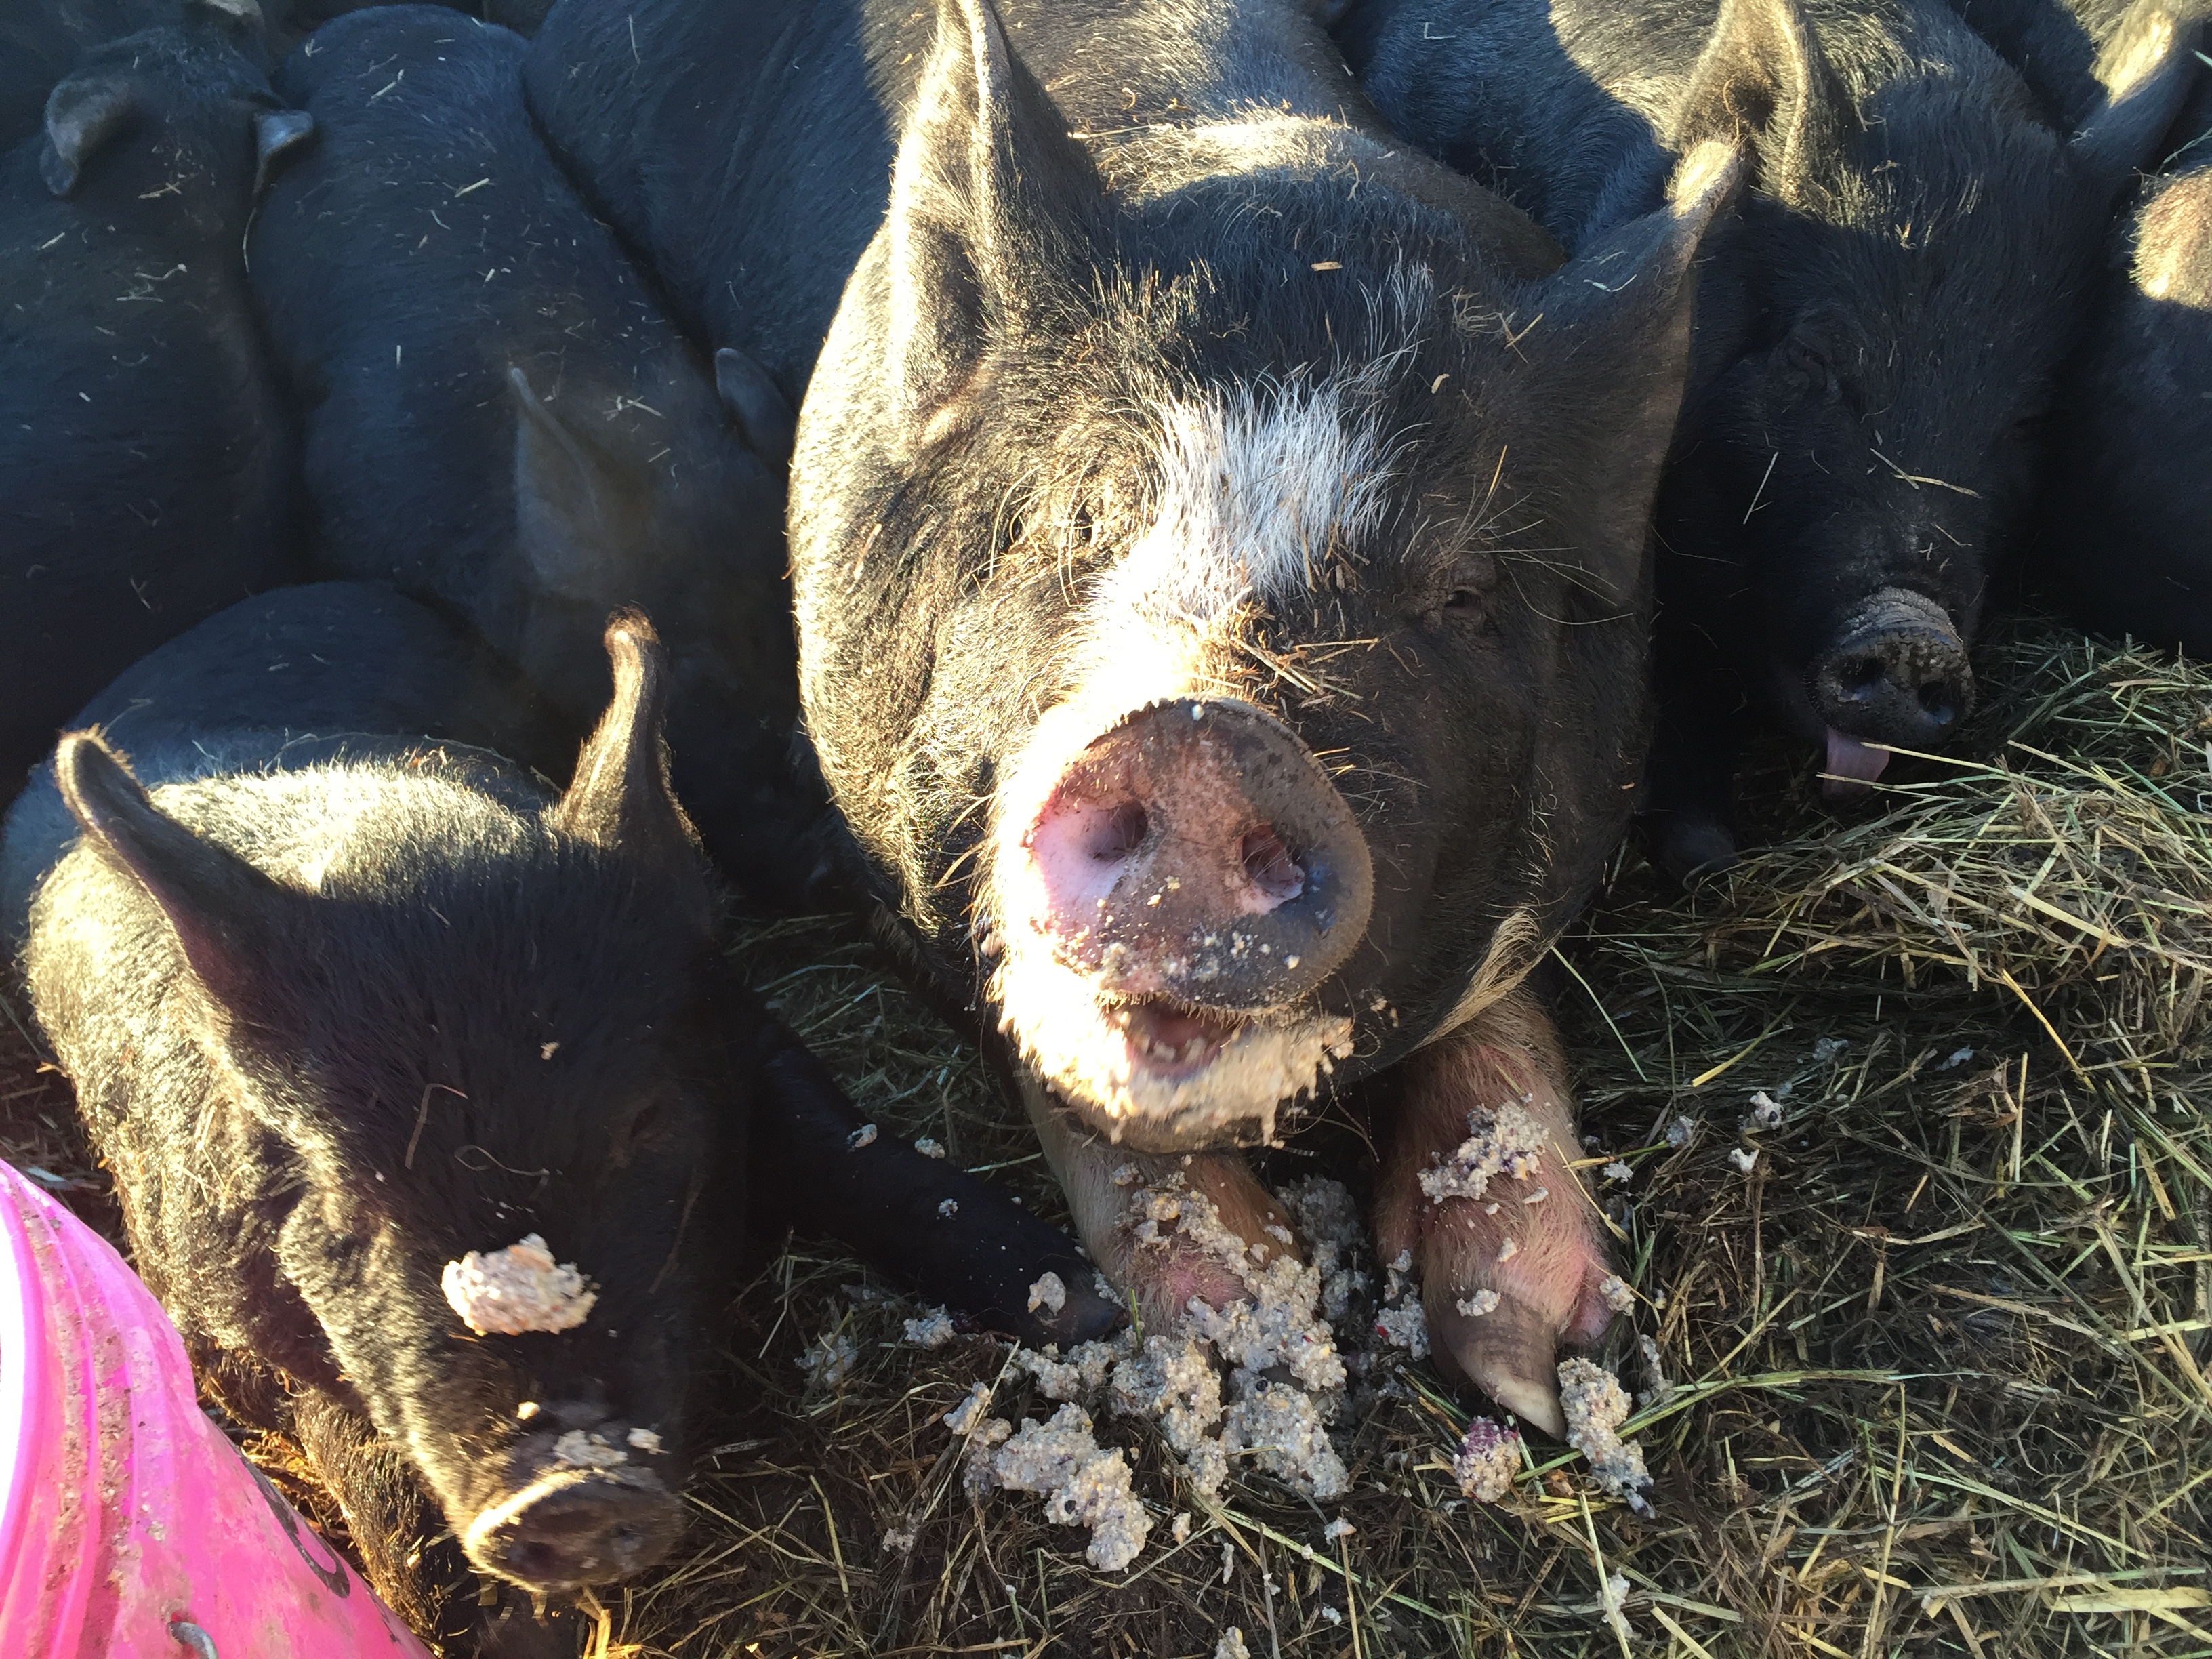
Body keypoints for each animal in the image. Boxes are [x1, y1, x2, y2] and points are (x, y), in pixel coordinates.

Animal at [3, 583, 1116, 1655]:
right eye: (343, 1190)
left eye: (640, 1123)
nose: (568, 1487)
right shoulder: (206, 1308)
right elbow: (340, 1432)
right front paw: (509, 1630)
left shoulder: (742, 1037)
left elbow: (865, 1156)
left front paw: (1083, 1303)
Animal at [530, 0, 1746, 1434]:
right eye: (1078, 513)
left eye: (1462, 589)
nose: (1203, 738)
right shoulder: (855, 829)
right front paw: (1254, 1320)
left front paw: (1535, 1374)